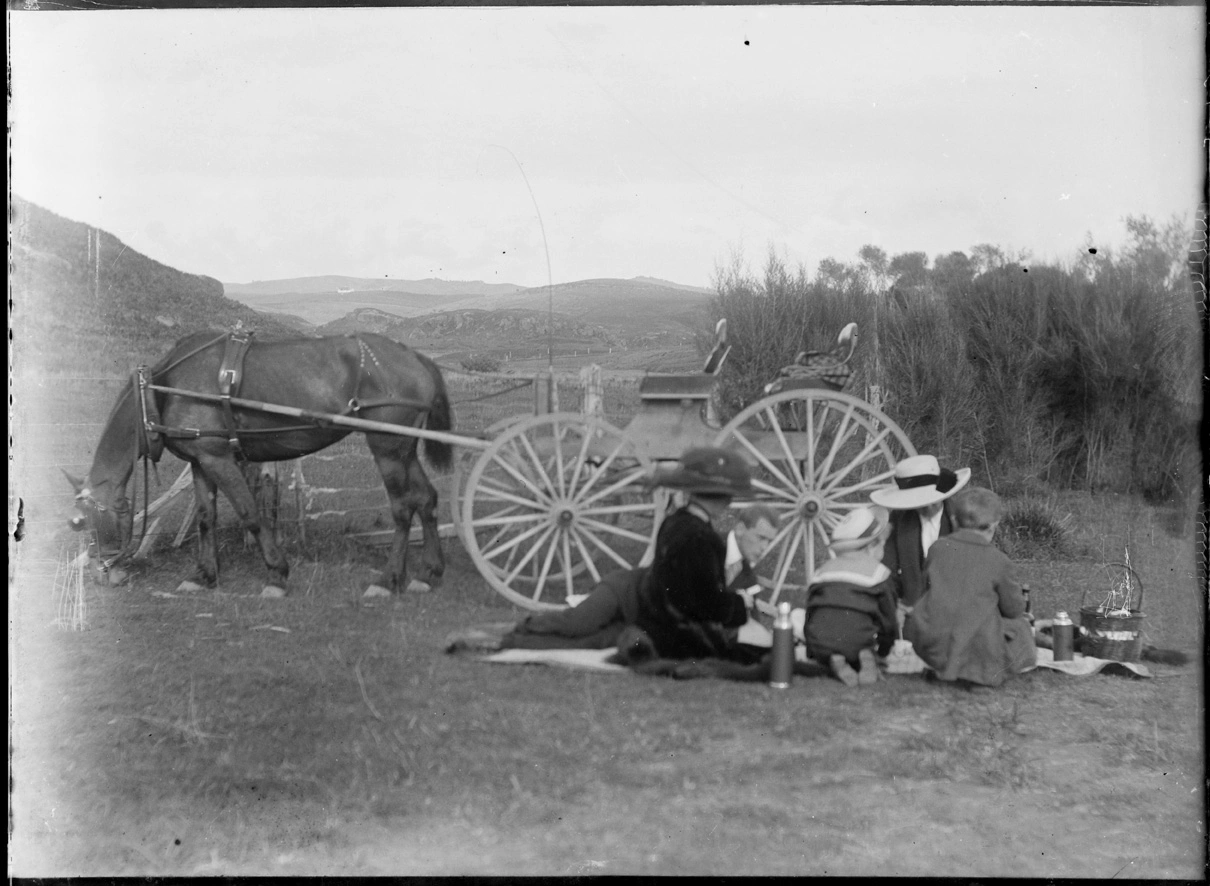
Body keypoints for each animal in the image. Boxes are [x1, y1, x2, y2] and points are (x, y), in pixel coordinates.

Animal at [66, 329, 454, 597]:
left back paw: (389, 580)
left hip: (387, 447)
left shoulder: (219, 458)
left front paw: (277, 574)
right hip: (404, 449)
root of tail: (416, 357)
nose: (104, 573)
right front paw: (203, 576)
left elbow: (250, 513)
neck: (159, 392)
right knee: (426, 499)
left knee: (402, 507)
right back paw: (428, 572)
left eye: (87, 522)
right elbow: (206, 517)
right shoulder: (201, 461)